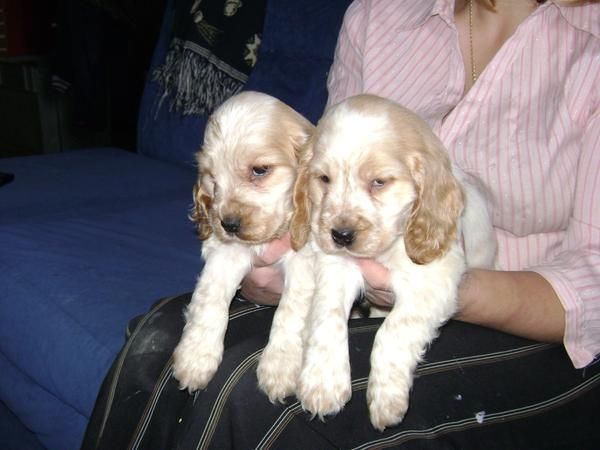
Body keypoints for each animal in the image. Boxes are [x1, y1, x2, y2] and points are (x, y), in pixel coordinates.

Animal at [171, 90, 314, 390]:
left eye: (260, 170)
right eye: (213, 179)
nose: (229, 224)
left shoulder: (306, 262)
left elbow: (291, 310)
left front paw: (280, 367)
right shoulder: (225, 253)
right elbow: (210, 299)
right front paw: (195, 357)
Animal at [258, 94, 496, 428]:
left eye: (379, 182)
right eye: (324, 178)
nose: (341, 235)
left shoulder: (435, 281)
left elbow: (394, 330)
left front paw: (386, 398)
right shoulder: (335, 266)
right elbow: (328, 315)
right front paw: (323, 383)